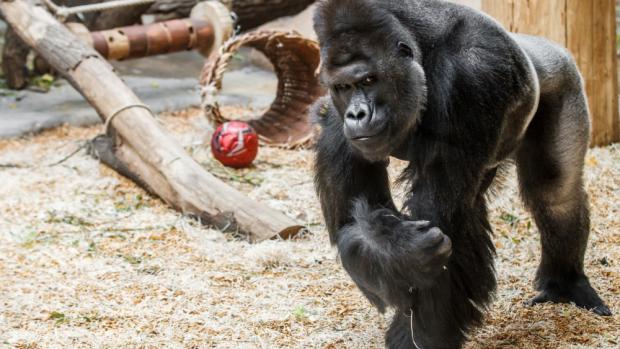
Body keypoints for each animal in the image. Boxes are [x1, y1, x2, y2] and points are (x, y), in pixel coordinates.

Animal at [312, 0, 612, 348]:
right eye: (344, 87)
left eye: (370, 80)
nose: (357, 114)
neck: (420, 48)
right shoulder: (335, 119)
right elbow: (354, 221)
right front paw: (399, 250)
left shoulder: (471, 76)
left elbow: (445, 224)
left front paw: (418, 336)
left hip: (562, 75)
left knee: (556, 191)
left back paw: (566, 283)